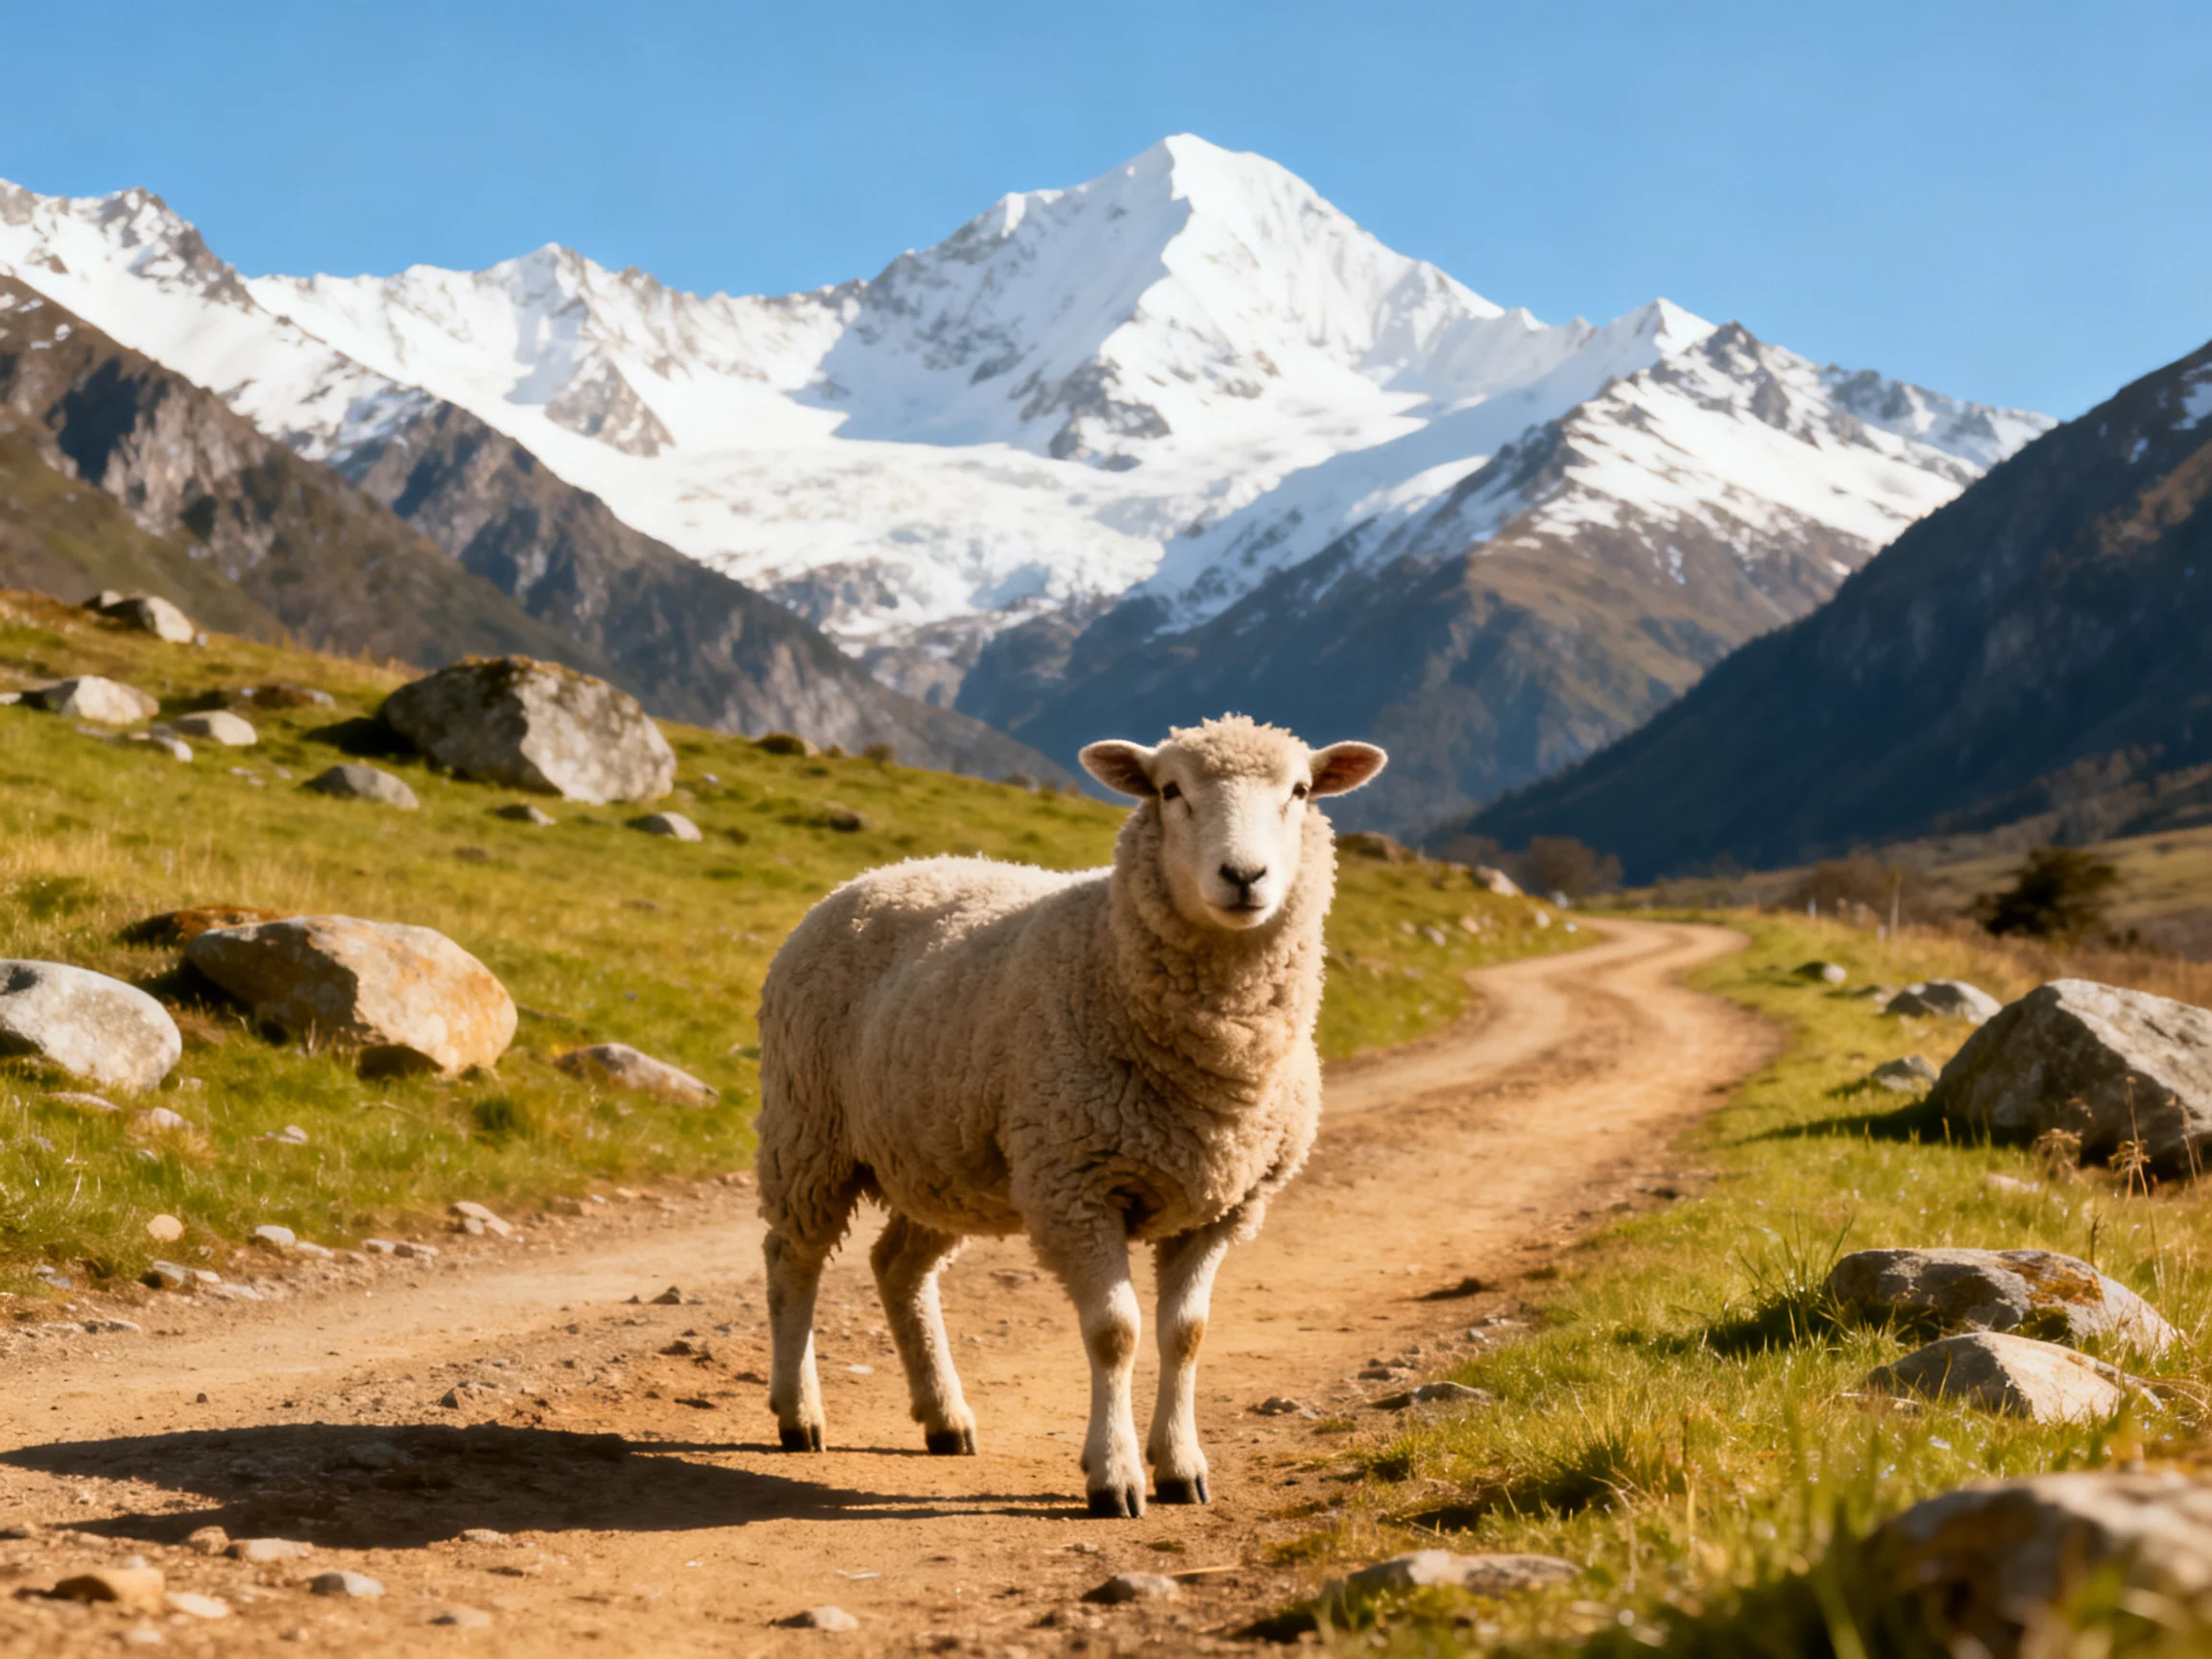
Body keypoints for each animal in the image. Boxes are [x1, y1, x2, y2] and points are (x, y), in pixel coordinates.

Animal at [754, 714, 1386, 1517]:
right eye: (1170, 790)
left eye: (1301, 791)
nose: (1244, 877)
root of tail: (880, 873)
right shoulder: (1075, 1185)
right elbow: (1115, 1333)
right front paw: (1113, 1476)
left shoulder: (1222, 1205)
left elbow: (1187, 1334)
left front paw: (1180, 1465)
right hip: (809, 1130)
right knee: (791, 1261)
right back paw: (798, 1413)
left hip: (940, 1159)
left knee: (897, 1268)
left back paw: (944, 1416)